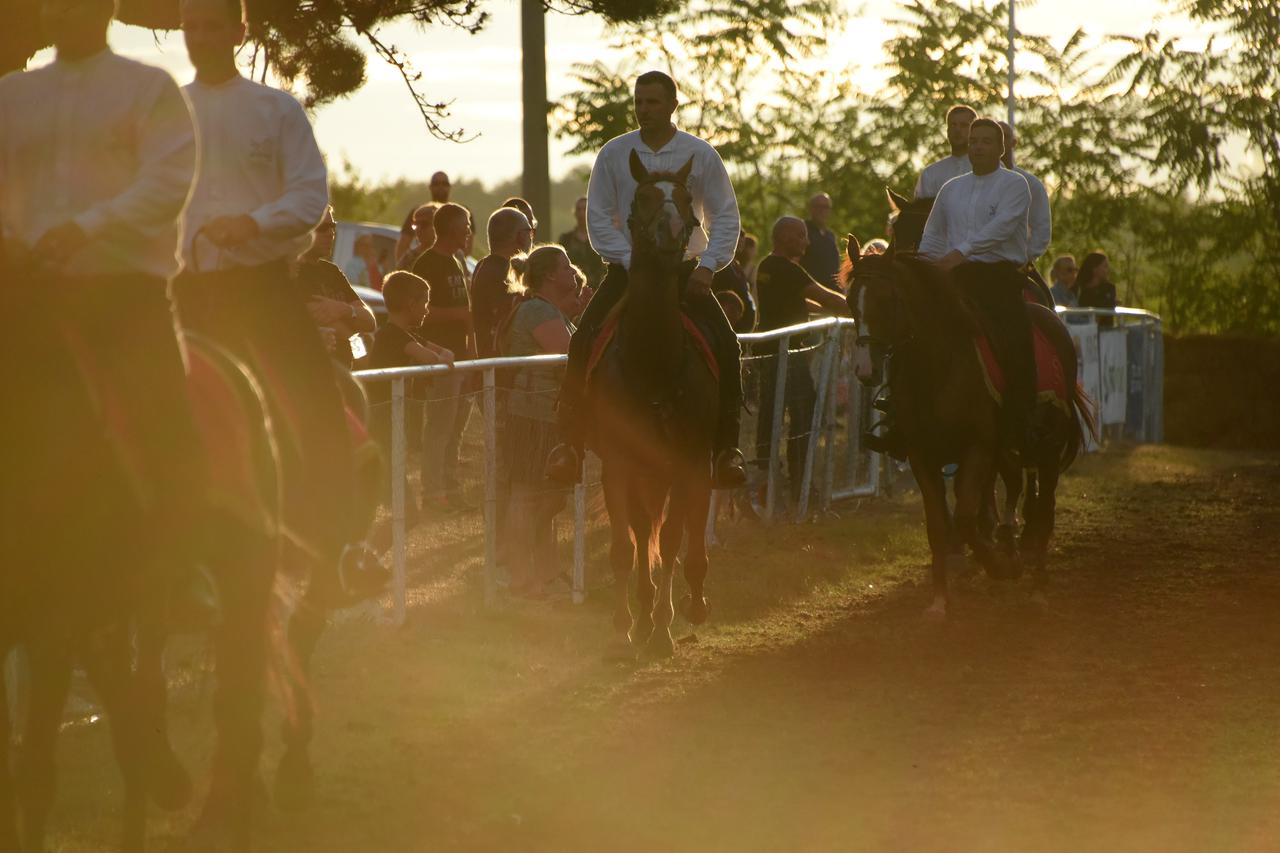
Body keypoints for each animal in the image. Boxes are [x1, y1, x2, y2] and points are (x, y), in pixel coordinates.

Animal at [588, 153, 721, 655]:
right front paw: (629, 625)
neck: (653, 366)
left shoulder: (687, 460)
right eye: (642, 196)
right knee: (646, 530)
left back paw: (689, 604)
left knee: (683, 530)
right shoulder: (619, 461)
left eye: (685, 197)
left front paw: (664, 625)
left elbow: (675, 537)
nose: (672, 231)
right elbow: (627, 547)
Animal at [844, 235, 1095, 614]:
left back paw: (1037, 583)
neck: (938, 368)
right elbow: (939, 525)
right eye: (850, 302)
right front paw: (939, 602)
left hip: (1048, 447)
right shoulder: (923, 455)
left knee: (1044, 509)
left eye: (887, 300)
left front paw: (1001, 566)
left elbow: (964, 517)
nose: (865, 369)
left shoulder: (977, 448)